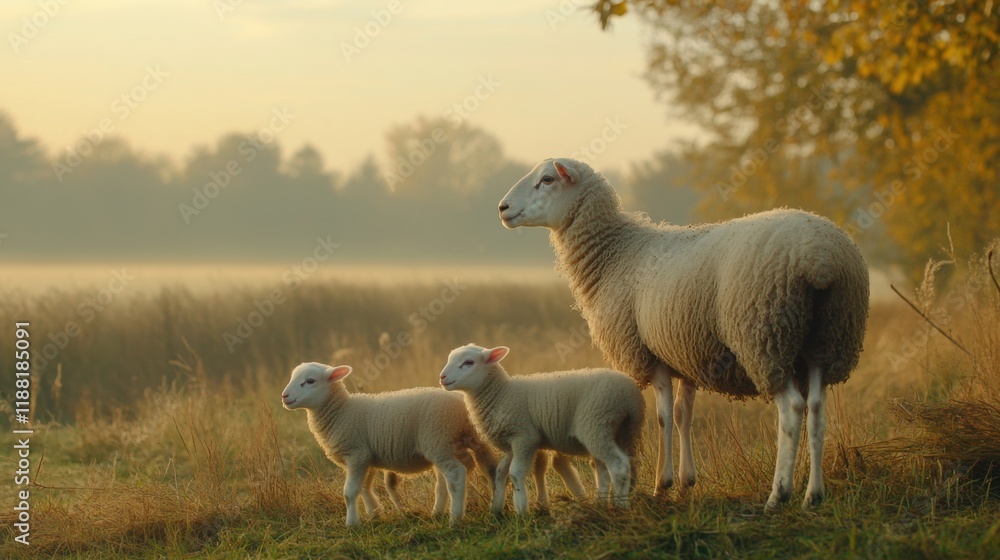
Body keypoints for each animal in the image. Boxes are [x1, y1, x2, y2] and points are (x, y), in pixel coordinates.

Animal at [281, 362, 498, 525]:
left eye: (310, 381)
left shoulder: (356, 454)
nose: (284, 396)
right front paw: (374, 513)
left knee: (456, 474)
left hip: (438, 440)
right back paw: (443, 511)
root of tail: (460, 404)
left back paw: (455, 518)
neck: (341, 411)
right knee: (469, 471)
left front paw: (352, 523)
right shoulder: (366, 458)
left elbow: (350, 492)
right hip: (459, 440)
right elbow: (364, 487)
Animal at [439, 344, 645, 514]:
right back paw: (603, 503)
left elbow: (515, 474)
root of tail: (630, 393)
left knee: (618, 466)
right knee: (610, 469)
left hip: (596, 425)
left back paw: (620, 506)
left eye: (468, 362)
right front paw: (496, 509)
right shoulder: (512, 444)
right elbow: (501, 472)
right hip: (623, 432)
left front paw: (521, 511)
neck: (501, 393)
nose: (442, 377)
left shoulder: (525, 437)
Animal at [497, 158, 869, 510]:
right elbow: (682, 413)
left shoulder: (648, 353)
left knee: (792, 409)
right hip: (827, 339)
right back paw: (813, 495)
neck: (615, 253)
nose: (502, 208)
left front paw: (662, 484)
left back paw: (779, 495)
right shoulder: (686, 351)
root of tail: (820, 259)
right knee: (818, 410)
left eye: (547, 179)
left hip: (766, 337)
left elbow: (663, 417)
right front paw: (686, 482)